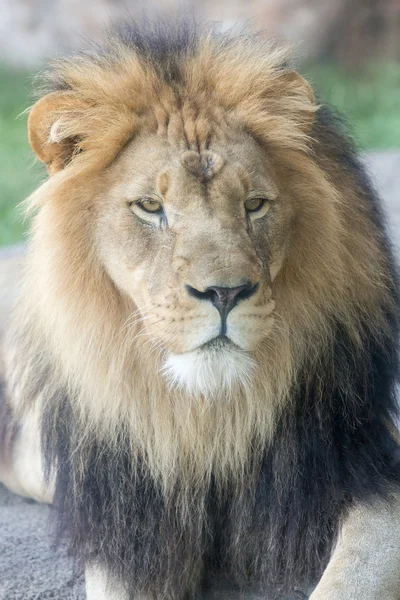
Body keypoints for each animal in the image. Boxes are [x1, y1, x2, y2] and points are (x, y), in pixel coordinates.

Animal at [0, 18, 400, 600]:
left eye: (254, 204)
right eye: (150, 206)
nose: (225, 294)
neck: (208, 420)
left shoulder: (368, 469)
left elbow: (348, 581)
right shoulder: (132, 530)